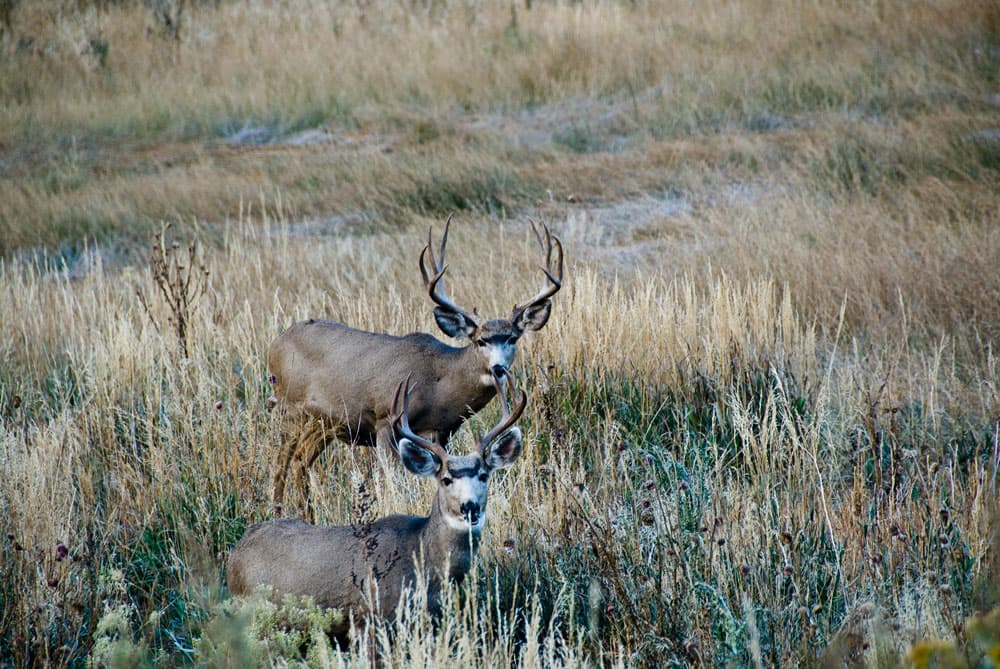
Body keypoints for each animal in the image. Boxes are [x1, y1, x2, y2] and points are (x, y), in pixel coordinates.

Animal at [227, 370, 527, 648]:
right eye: (445, 479)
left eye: (484, 475)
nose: (469, 507)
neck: (423, 556)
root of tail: (237, 552)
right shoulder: (371, 615)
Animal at [268, 216, 561, 518]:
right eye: (480, 340)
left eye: (513, 338)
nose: (499, 368)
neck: (439, 383)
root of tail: (277, 342)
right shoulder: (385, 418)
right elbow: (391, 479)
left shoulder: (442, 431)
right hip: (289, 407)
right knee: (280, 461)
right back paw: (277, 512)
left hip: (323, 422)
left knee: (301, 460)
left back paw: (307, 515)